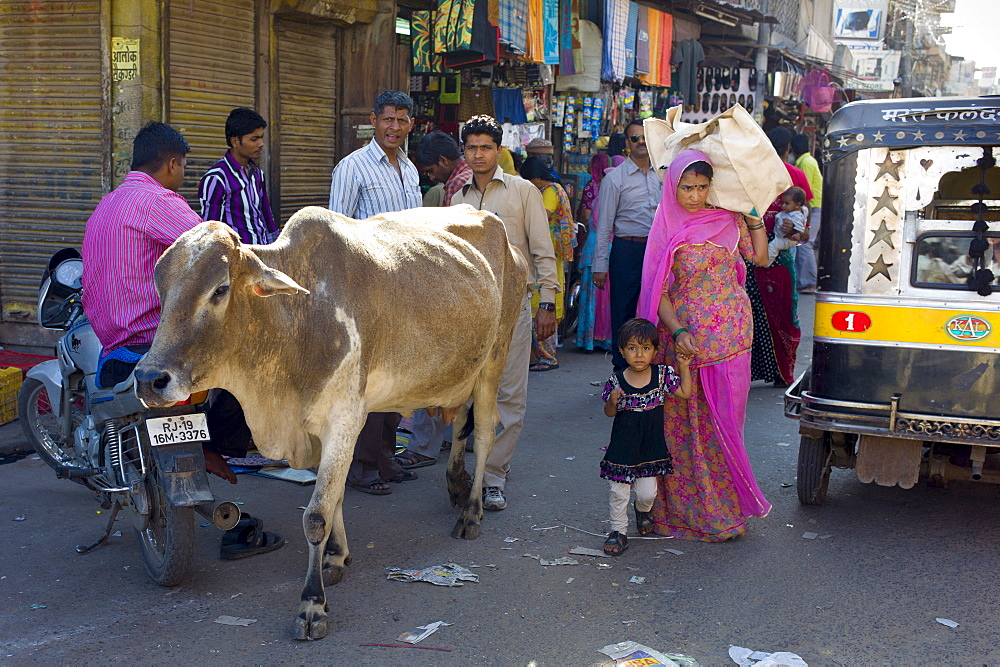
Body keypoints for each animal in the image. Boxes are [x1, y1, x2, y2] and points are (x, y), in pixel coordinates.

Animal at [136, 205, 528, 640]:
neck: (299, 321)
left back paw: (472, 512)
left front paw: (312, 604)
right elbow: (336, 497)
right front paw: (336, 560)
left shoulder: (344, 420)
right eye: (159, 288)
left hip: (495, 358)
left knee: (488, 432)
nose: (148, 379)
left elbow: (316, 515)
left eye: (219, 289)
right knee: (460, 423)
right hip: (462, 370)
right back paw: (456, 485)